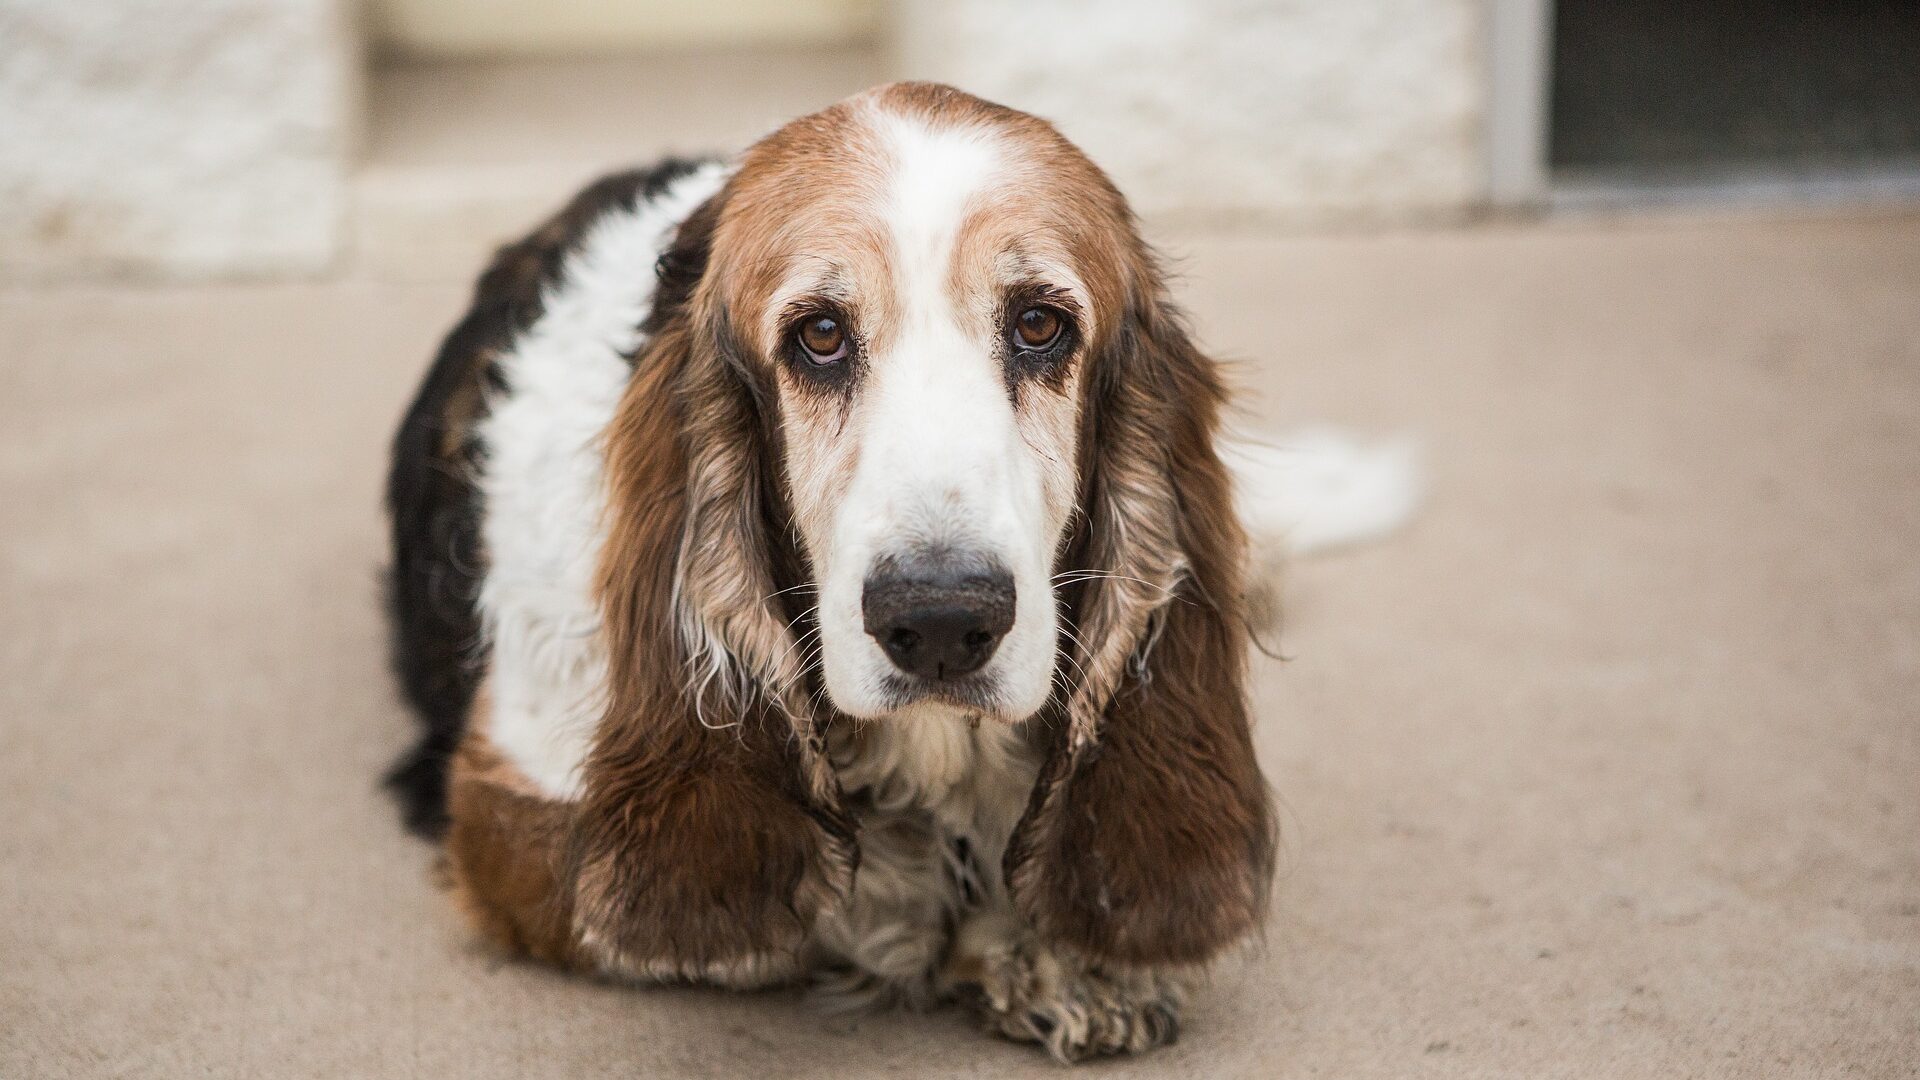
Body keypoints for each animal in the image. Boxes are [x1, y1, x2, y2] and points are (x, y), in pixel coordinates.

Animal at [382, 79, 1420, 1053]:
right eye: (820, 336)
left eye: (1039, 325)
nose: (942, 622)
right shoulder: (509, 803)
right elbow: (833, 904)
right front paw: (1012, 947)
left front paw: (1072, 961)